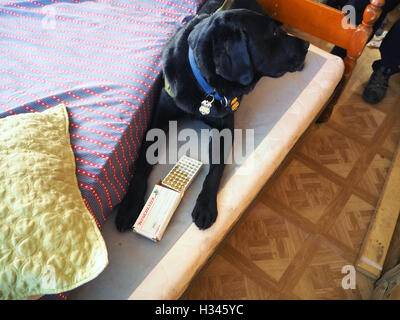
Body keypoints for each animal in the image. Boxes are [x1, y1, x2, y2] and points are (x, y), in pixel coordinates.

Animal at [115, 3, 310, 232]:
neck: (204, 84)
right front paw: (130, 204)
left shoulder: (225, 126)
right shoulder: (160, 115)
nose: (307, 44)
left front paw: (206, 204)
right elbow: (143, 159)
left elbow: (215, 168)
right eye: (273, 33)